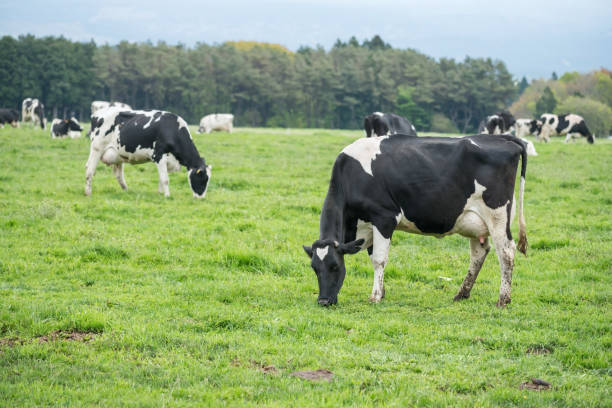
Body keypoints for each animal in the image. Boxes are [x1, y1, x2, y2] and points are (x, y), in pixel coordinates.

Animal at [302, 135, 524, 310]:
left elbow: (379, 259)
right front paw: (382, 292)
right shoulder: (370, 227)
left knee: (506, 252)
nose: (323, 301)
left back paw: (503, 299)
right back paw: (462, 294)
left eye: (335, 266)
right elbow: (374, 256)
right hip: (476, 222)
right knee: (479, 253)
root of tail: (502, 138)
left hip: (497, 215)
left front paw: (375, 297)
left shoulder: (384, 217)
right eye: (314, 268)